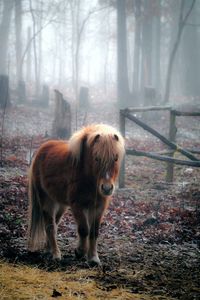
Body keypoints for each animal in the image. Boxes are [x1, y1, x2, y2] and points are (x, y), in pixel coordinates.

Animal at [27, 123, 124, 264]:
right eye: (97, 158)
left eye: (115, 158)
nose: (106, 188)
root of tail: (41, 150)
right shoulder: (77, 205)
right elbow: (84, 230)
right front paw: (80, 252)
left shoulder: (98, 208)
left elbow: (94, 232)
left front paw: (93, 258)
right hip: (47, 201)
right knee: (50, 227)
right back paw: (56, 254)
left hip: (61, 205)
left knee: (54, 224)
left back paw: (48, 249)